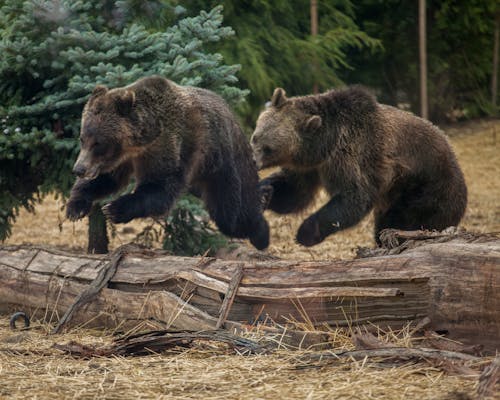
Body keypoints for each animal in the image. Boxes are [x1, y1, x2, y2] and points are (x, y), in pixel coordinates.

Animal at [67, 75, 270, 250]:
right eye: (82, 139)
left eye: (98, 143)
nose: (78, 169)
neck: (139, 144)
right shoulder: (121, 160)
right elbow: (106, 179)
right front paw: (75, 207)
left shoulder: (169, 146)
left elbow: (161, 187)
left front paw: (114, 209)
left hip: (224, 162)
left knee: (231, 213)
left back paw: (261, 232)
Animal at [252, 86, 466, 245]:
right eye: (255, 137)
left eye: (268, 149)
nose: (253, 161)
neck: (323, 145)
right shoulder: (309, 167)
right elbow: (294, 191)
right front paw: (263, 193)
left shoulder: (350, 155)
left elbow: (354, 197)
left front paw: (304, 233)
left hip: (425, 189)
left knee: (407, 220)